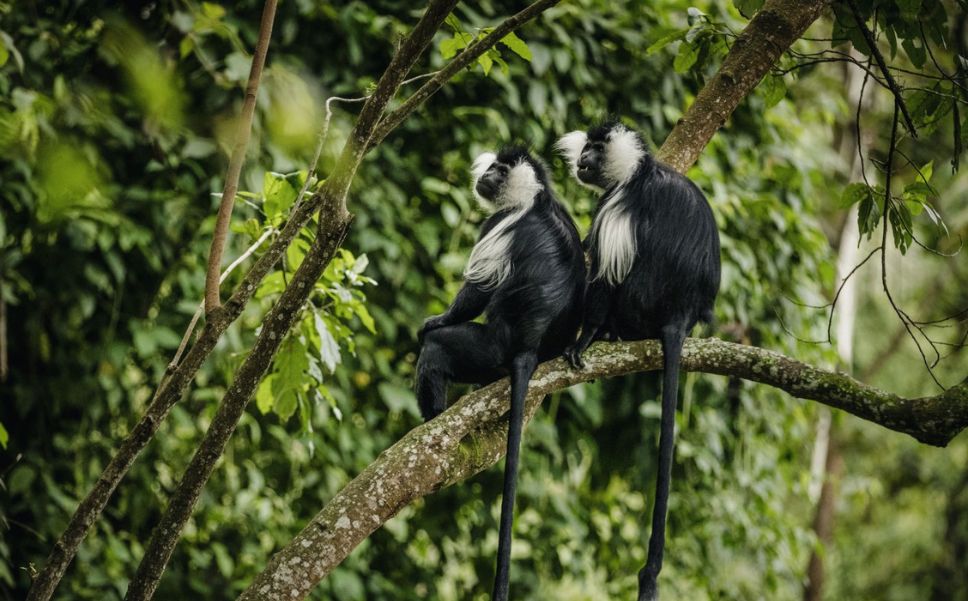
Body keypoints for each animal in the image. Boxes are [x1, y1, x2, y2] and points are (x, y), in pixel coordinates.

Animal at [415, 146, 586, 601]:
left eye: (500, 170)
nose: (486, 174)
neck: (536, 198)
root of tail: (527, 347)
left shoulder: (499, 225)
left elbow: (477, 291)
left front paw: (436, 320)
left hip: (487, 349)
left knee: (438, 351)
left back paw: (431, 420)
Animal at [556, 120, 720, 601]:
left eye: (595, 149)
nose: (582, 159)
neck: (638, 171)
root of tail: (679, 313)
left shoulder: (618, 205)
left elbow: (604, 274)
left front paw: (585, 338)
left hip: (638, 302)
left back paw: (606, 333)